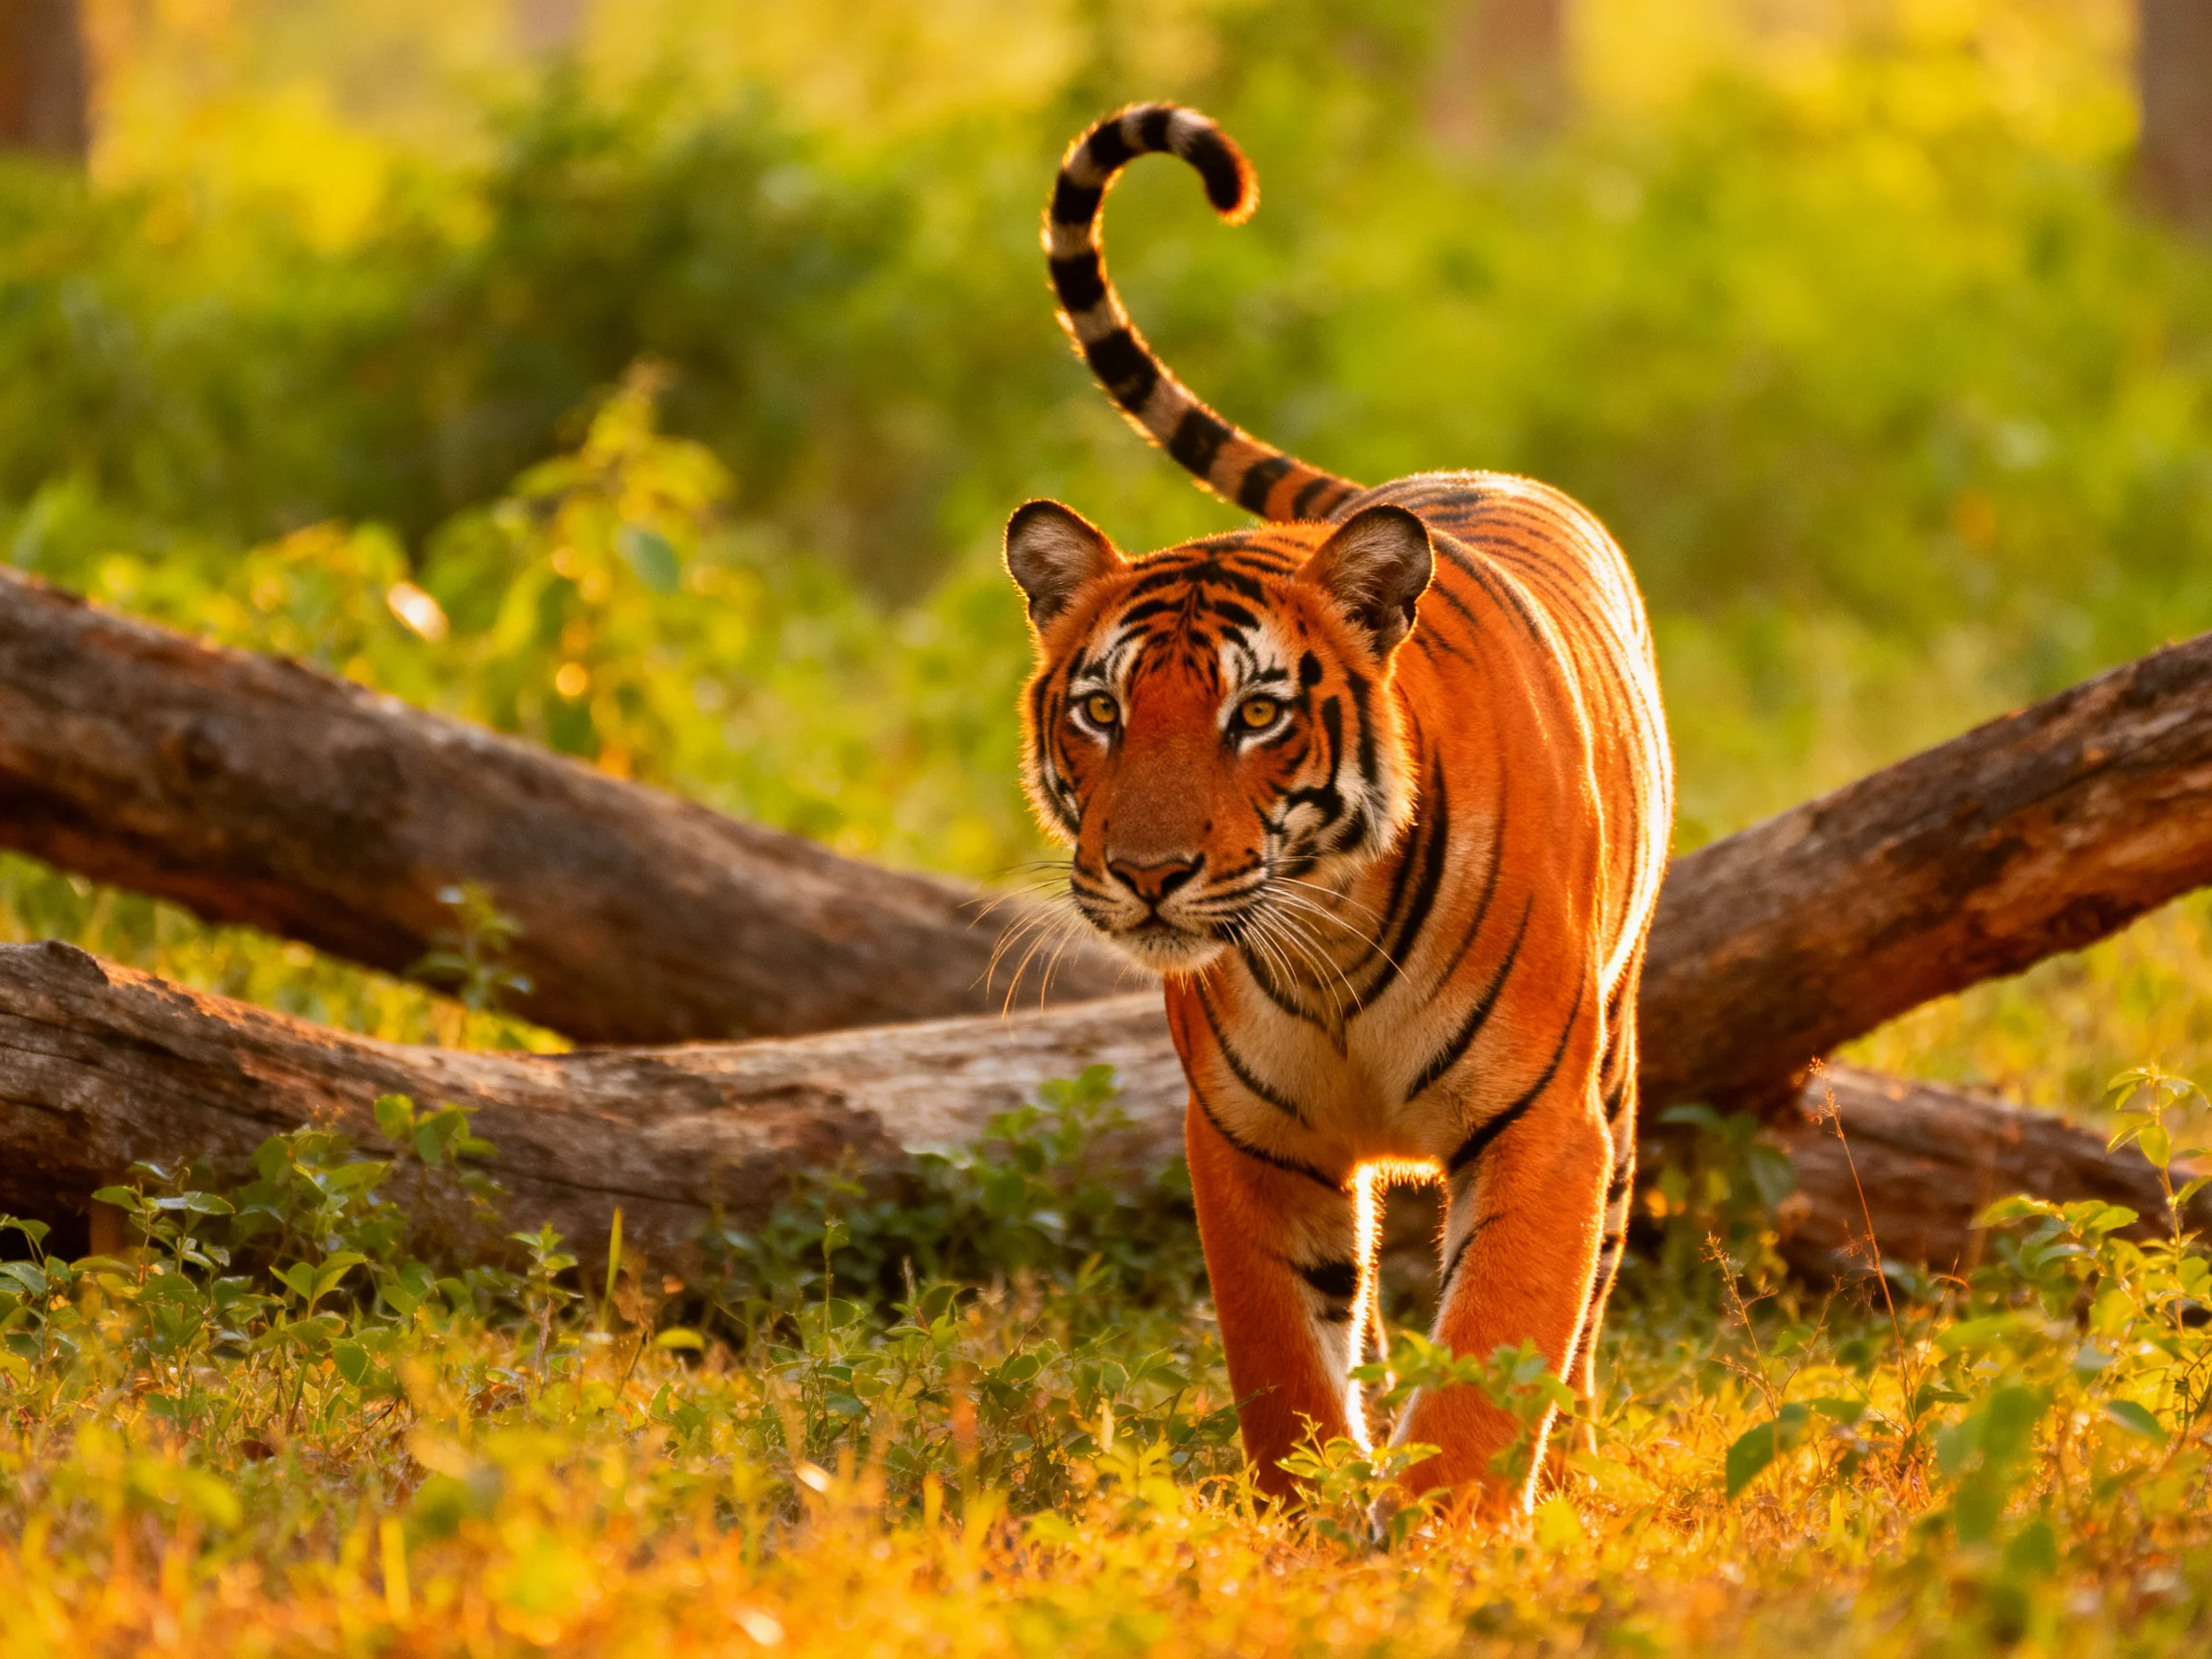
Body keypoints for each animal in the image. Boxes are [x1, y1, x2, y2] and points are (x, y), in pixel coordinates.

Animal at [1002, 103, 1673, 1517]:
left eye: (1257, 715)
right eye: (1102, 709)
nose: (1147, 872)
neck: (1328, 956)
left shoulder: (1543, 1126)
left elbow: (1494, 1349)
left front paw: (1438, 1532)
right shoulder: (1247, 1140)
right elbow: (1284, 1362)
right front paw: (1307, 1518)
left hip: (1620, 1046)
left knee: (1588, 1305)